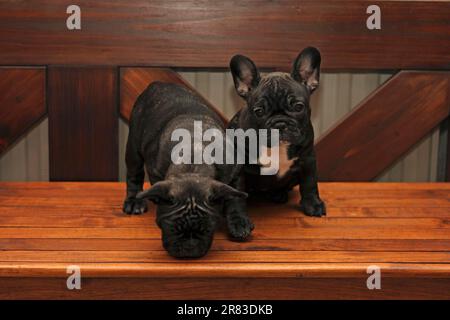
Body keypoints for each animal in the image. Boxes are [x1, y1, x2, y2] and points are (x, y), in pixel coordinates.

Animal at [123, 82, 253, 258]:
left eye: (208, 229)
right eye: (170, 228)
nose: (189, 248)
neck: (193, 166)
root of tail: (157, 84)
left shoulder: (235, 173)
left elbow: (236, 200)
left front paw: (239, 222)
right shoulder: (156, 172)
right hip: (134, 145)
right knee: (134, 173)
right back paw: (134, 202)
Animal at [229, 46, 326, 218]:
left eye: (298, 107)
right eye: (259, 111)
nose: (280, 123)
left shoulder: (308, 159)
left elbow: (309, 183)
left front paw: (313, 205)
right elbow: (237, 191)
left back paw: (278, 194)